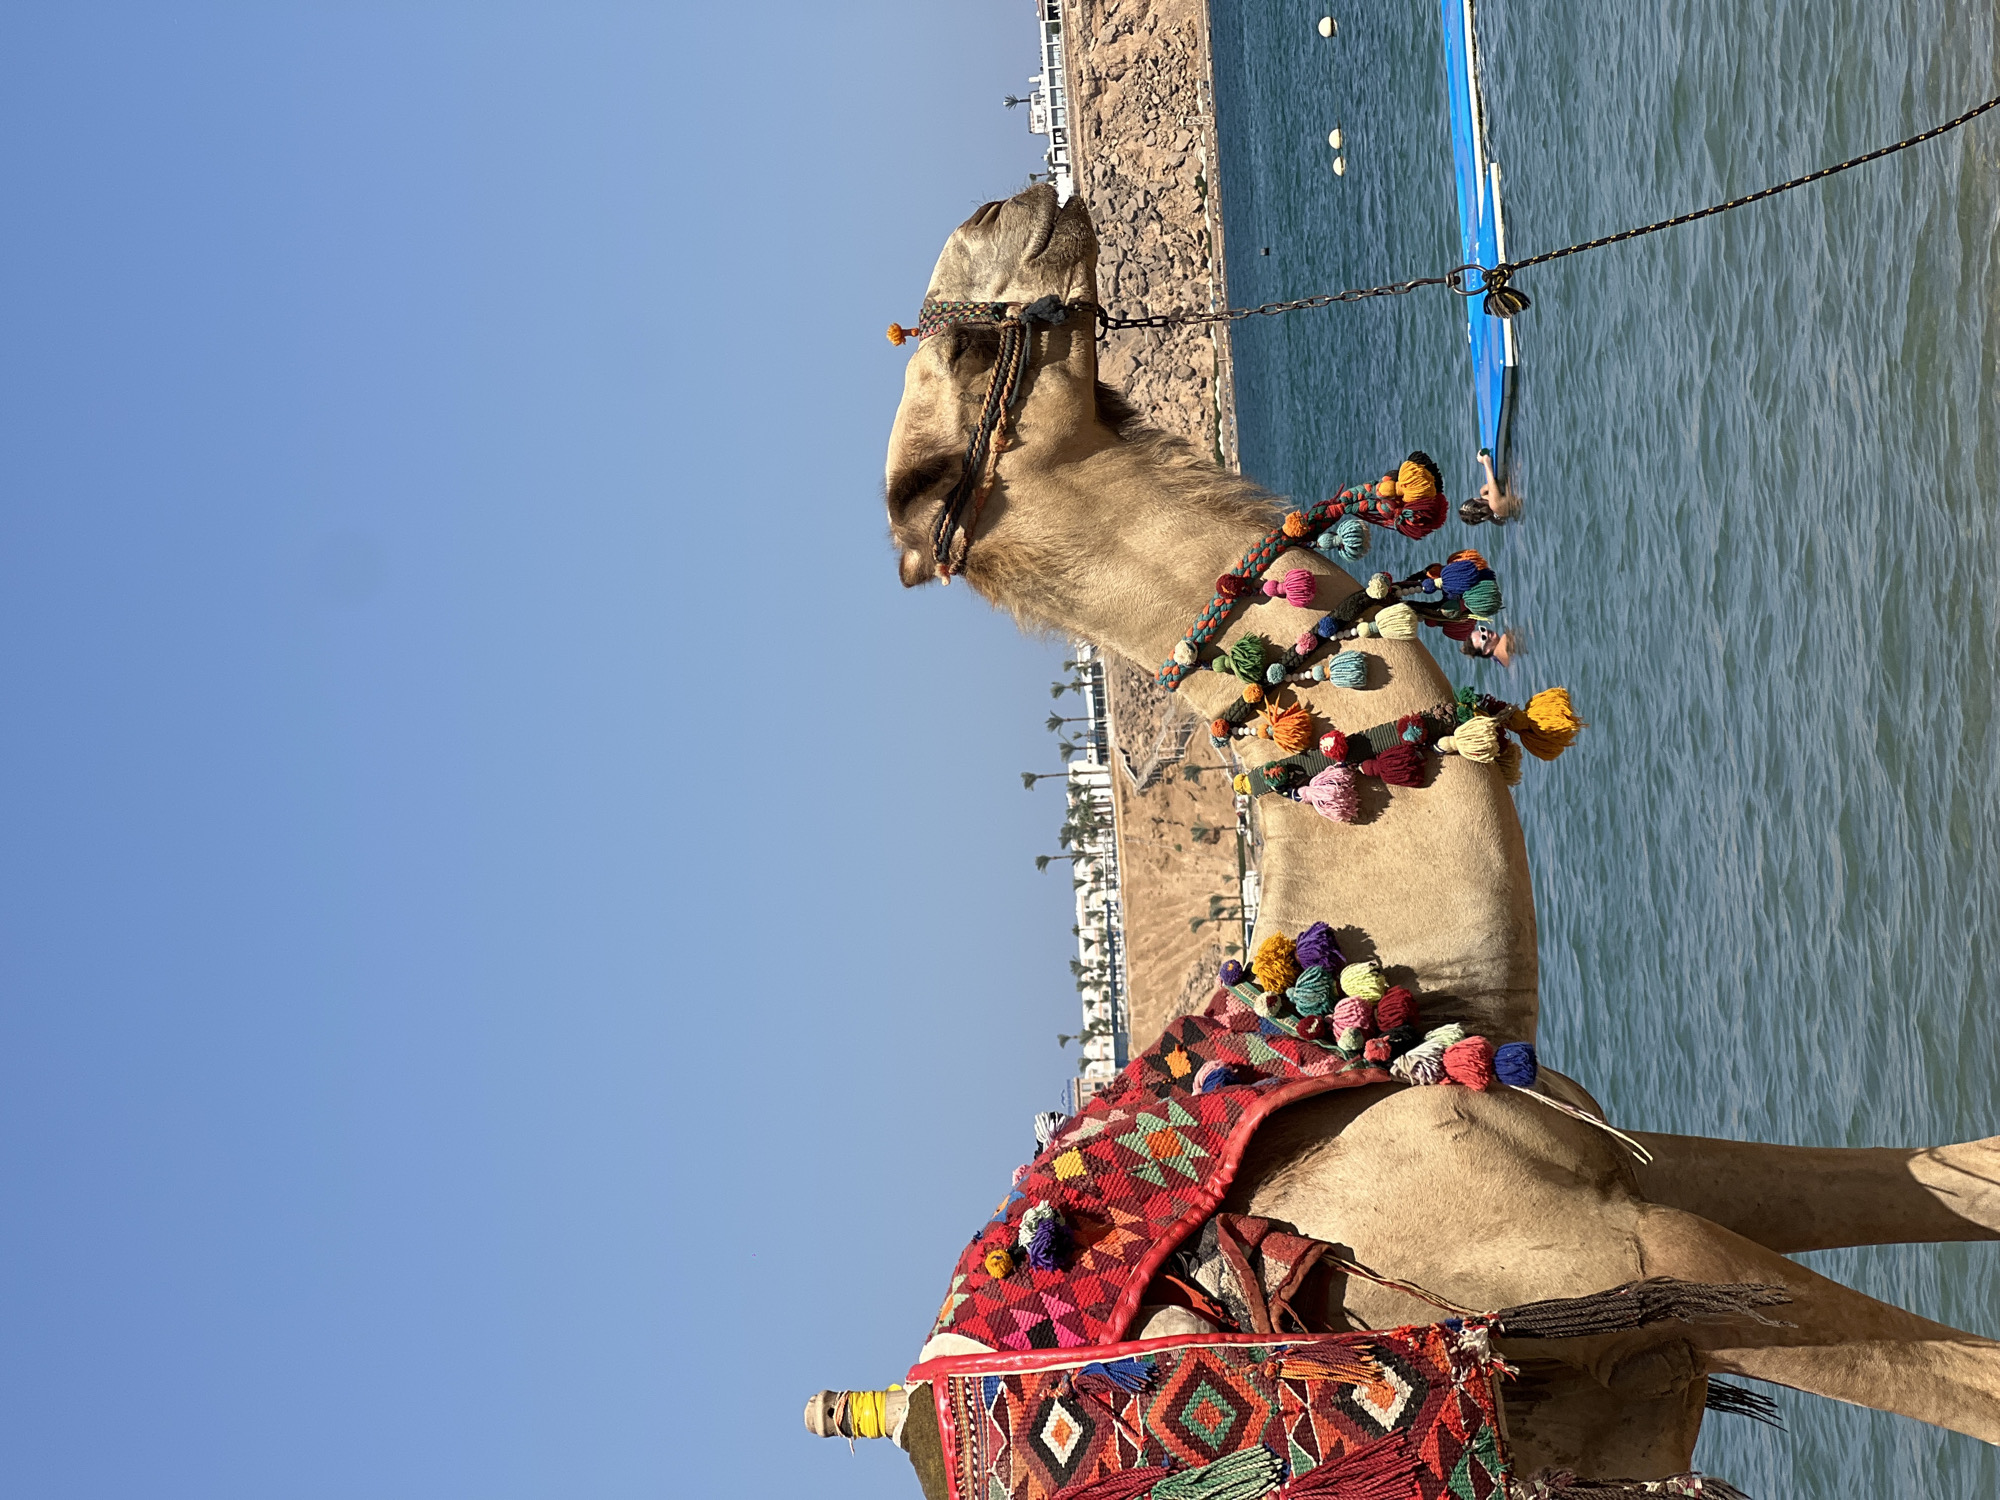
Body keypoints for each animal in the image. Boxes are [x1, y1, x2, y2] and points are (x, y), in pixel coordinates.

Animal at [830, 183, 2000, 1488]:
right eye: (959, 356)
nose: (1012, 201)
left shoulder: (1644, 1187)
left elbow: (1953, 1174)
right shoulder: (1627, 1255)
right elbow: (1972, 1385)